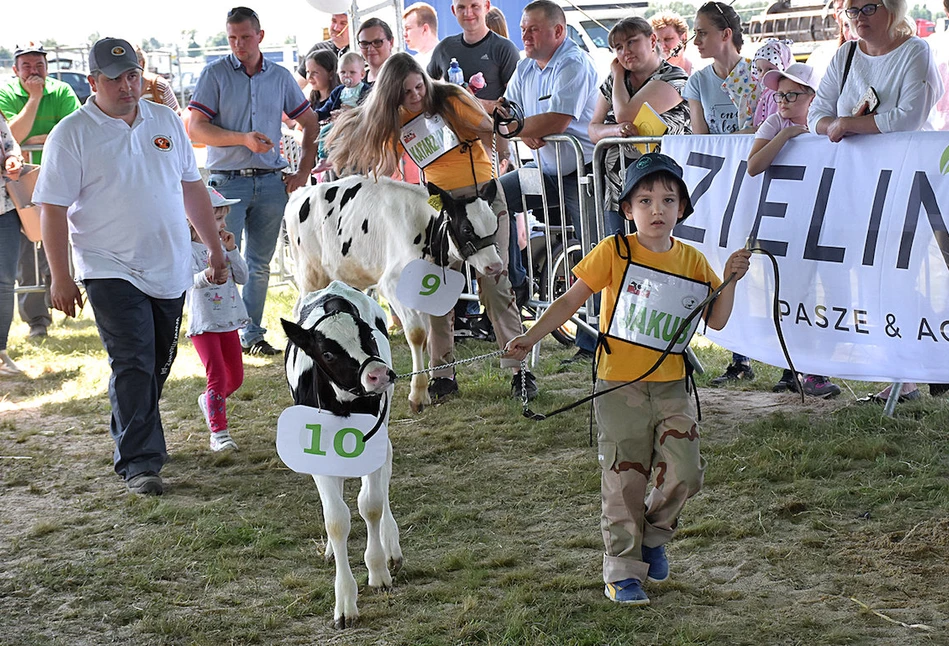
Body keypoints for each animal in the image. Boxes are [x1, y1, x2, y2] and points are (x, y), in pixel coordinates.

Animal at [280, 280, 402, 632]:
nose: (379, 374)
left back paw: (391, 544)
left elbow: (370, 505)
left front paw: (378, 571)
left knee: (385, 471)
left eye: (369, 335)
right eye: (328, 353)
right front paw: (345, 602)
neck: (343, 406)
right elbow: (336, 520)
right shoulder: (319, 454)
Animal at [286, 175, 504, 412]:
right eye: (466, 229)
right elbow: (417, 334)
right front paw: (417, 394)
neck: (426, 229)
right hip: (310, 274)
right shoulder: (391, 284)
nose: (495, 266)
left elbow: (426, 338)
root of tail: (299, 193)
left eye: (495, 224)